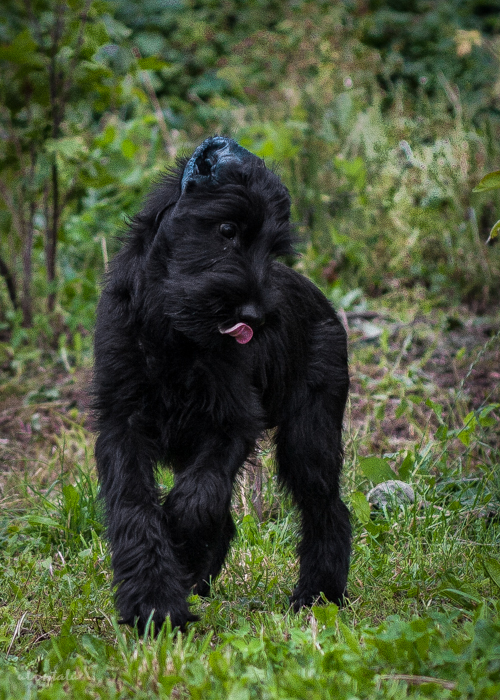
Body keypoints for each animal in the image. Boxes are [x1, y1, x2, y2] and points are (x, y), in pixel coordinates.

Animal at [94, 137, 352, 636]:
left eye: (274, 247)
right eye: (227, 229)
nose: (254, 316)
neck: (172, 334)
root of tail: (324, 304)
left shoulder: (231, 424)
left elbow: (196, 500)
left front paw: (182, 547)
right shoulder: (121, 426)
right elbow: (135, 508)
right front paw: (154, 602)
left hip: (309, 439)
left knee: (327, 509)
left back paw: (319, 595)